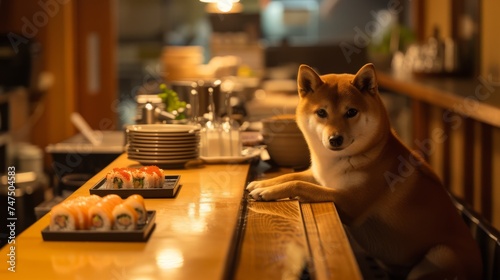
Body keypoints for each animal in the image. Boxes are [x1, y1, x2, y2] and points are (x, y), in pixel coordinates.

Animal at [248, 64, 482, 280]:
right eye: (321, 112)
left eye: (351, 112)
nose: (335, 139)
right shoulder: (318, 176)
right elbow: (291, 177)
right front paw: (262, 184)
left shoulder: (350, 203)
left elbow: (300, 185)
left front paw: (267, 192)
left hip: (440, 255)